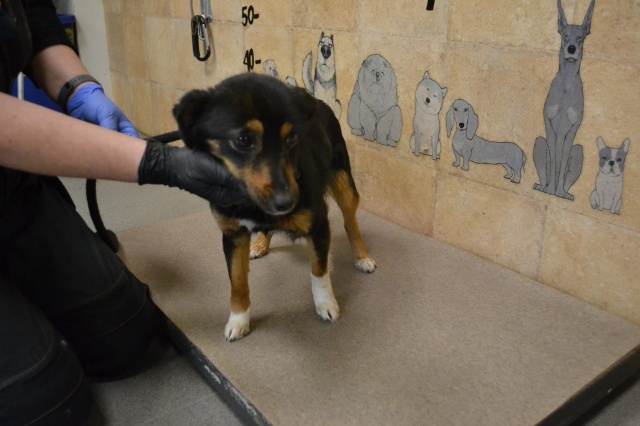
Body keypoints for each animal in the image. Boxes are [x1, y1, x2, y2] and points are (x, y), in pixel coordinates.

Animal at [173, 73, 376, 342]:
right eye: (243, 140)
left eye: (291, 138)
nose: (287, 202)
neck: (250, 202)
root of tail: (319, 102)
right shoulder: (233, 235)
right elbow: (237, 282)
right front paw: (238, 319)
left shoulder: (319, 224)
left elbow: (318, 270)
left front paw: (325, 304)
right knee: (266, 230)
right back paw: (260, 244)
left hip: (344, 183)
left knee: (351, 222)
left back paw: (362, 257)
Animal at [533, 0, 595, 200]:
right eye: (565, 36)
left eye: (580, 37)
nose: (571, 49)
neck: (567, 83)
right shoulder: (549, 125)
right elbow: (554, 162)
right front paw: (550, 190)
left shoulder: (573, 130)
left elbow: (561, 166)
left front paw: (558, 191)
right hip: (539, 141)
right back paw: (543, 187)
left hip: (579, 150)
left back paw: (564, 194)